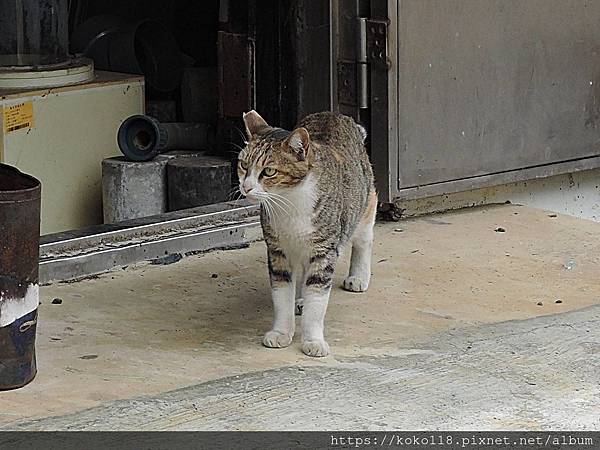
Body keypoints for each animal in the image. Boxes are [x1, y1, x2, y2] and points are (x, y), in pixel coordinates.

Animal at [238, 110, 376, 356]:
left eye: (269, 171)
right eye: (243, 165)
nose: (246, 187)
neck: (289, 203)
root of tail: (336, 114)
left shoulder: (324, 252)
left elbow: (318, 299)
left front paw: (313, 341)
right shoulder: (278, 251)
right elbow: (282, 295)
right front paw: (281, 333)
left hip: (363, 203)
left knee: (364, 238)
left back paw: (358, 277)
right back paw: (300, 299)